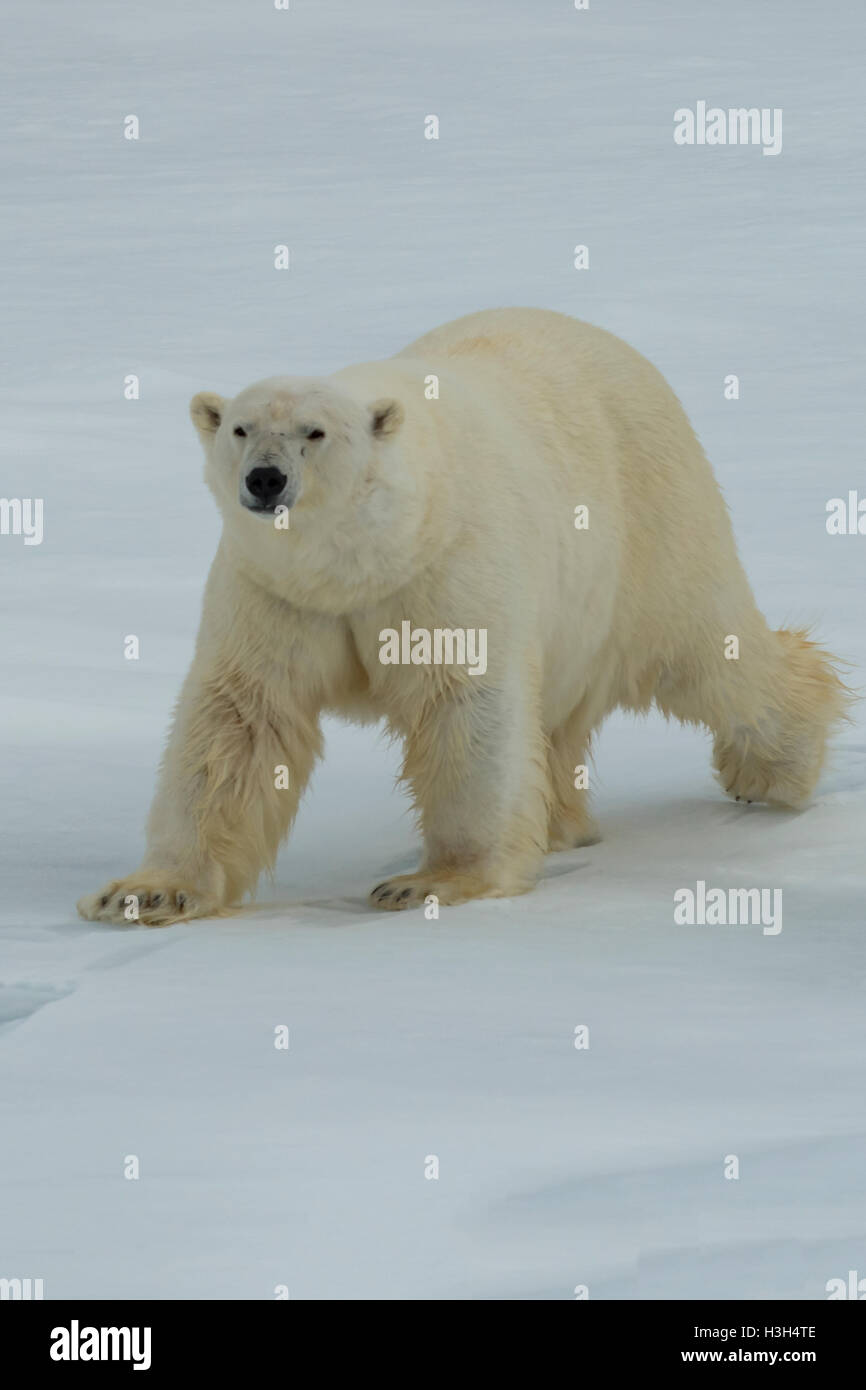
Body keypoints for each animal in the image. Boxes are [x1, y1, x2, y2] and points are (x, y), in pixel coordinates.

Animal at [76, 309, 845, 928]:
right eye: (240, 427)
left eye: (314, 432)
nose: (265, 480)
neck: (364, 559)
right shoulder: (276, 591)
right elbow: (238, 719)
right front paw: (143, 893)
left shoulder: (445, 568)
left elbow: (465, 703)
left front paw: (429, 883)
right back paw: (559, 823)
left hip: (651, 518)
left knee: (708, 651)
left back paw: (777, 768)